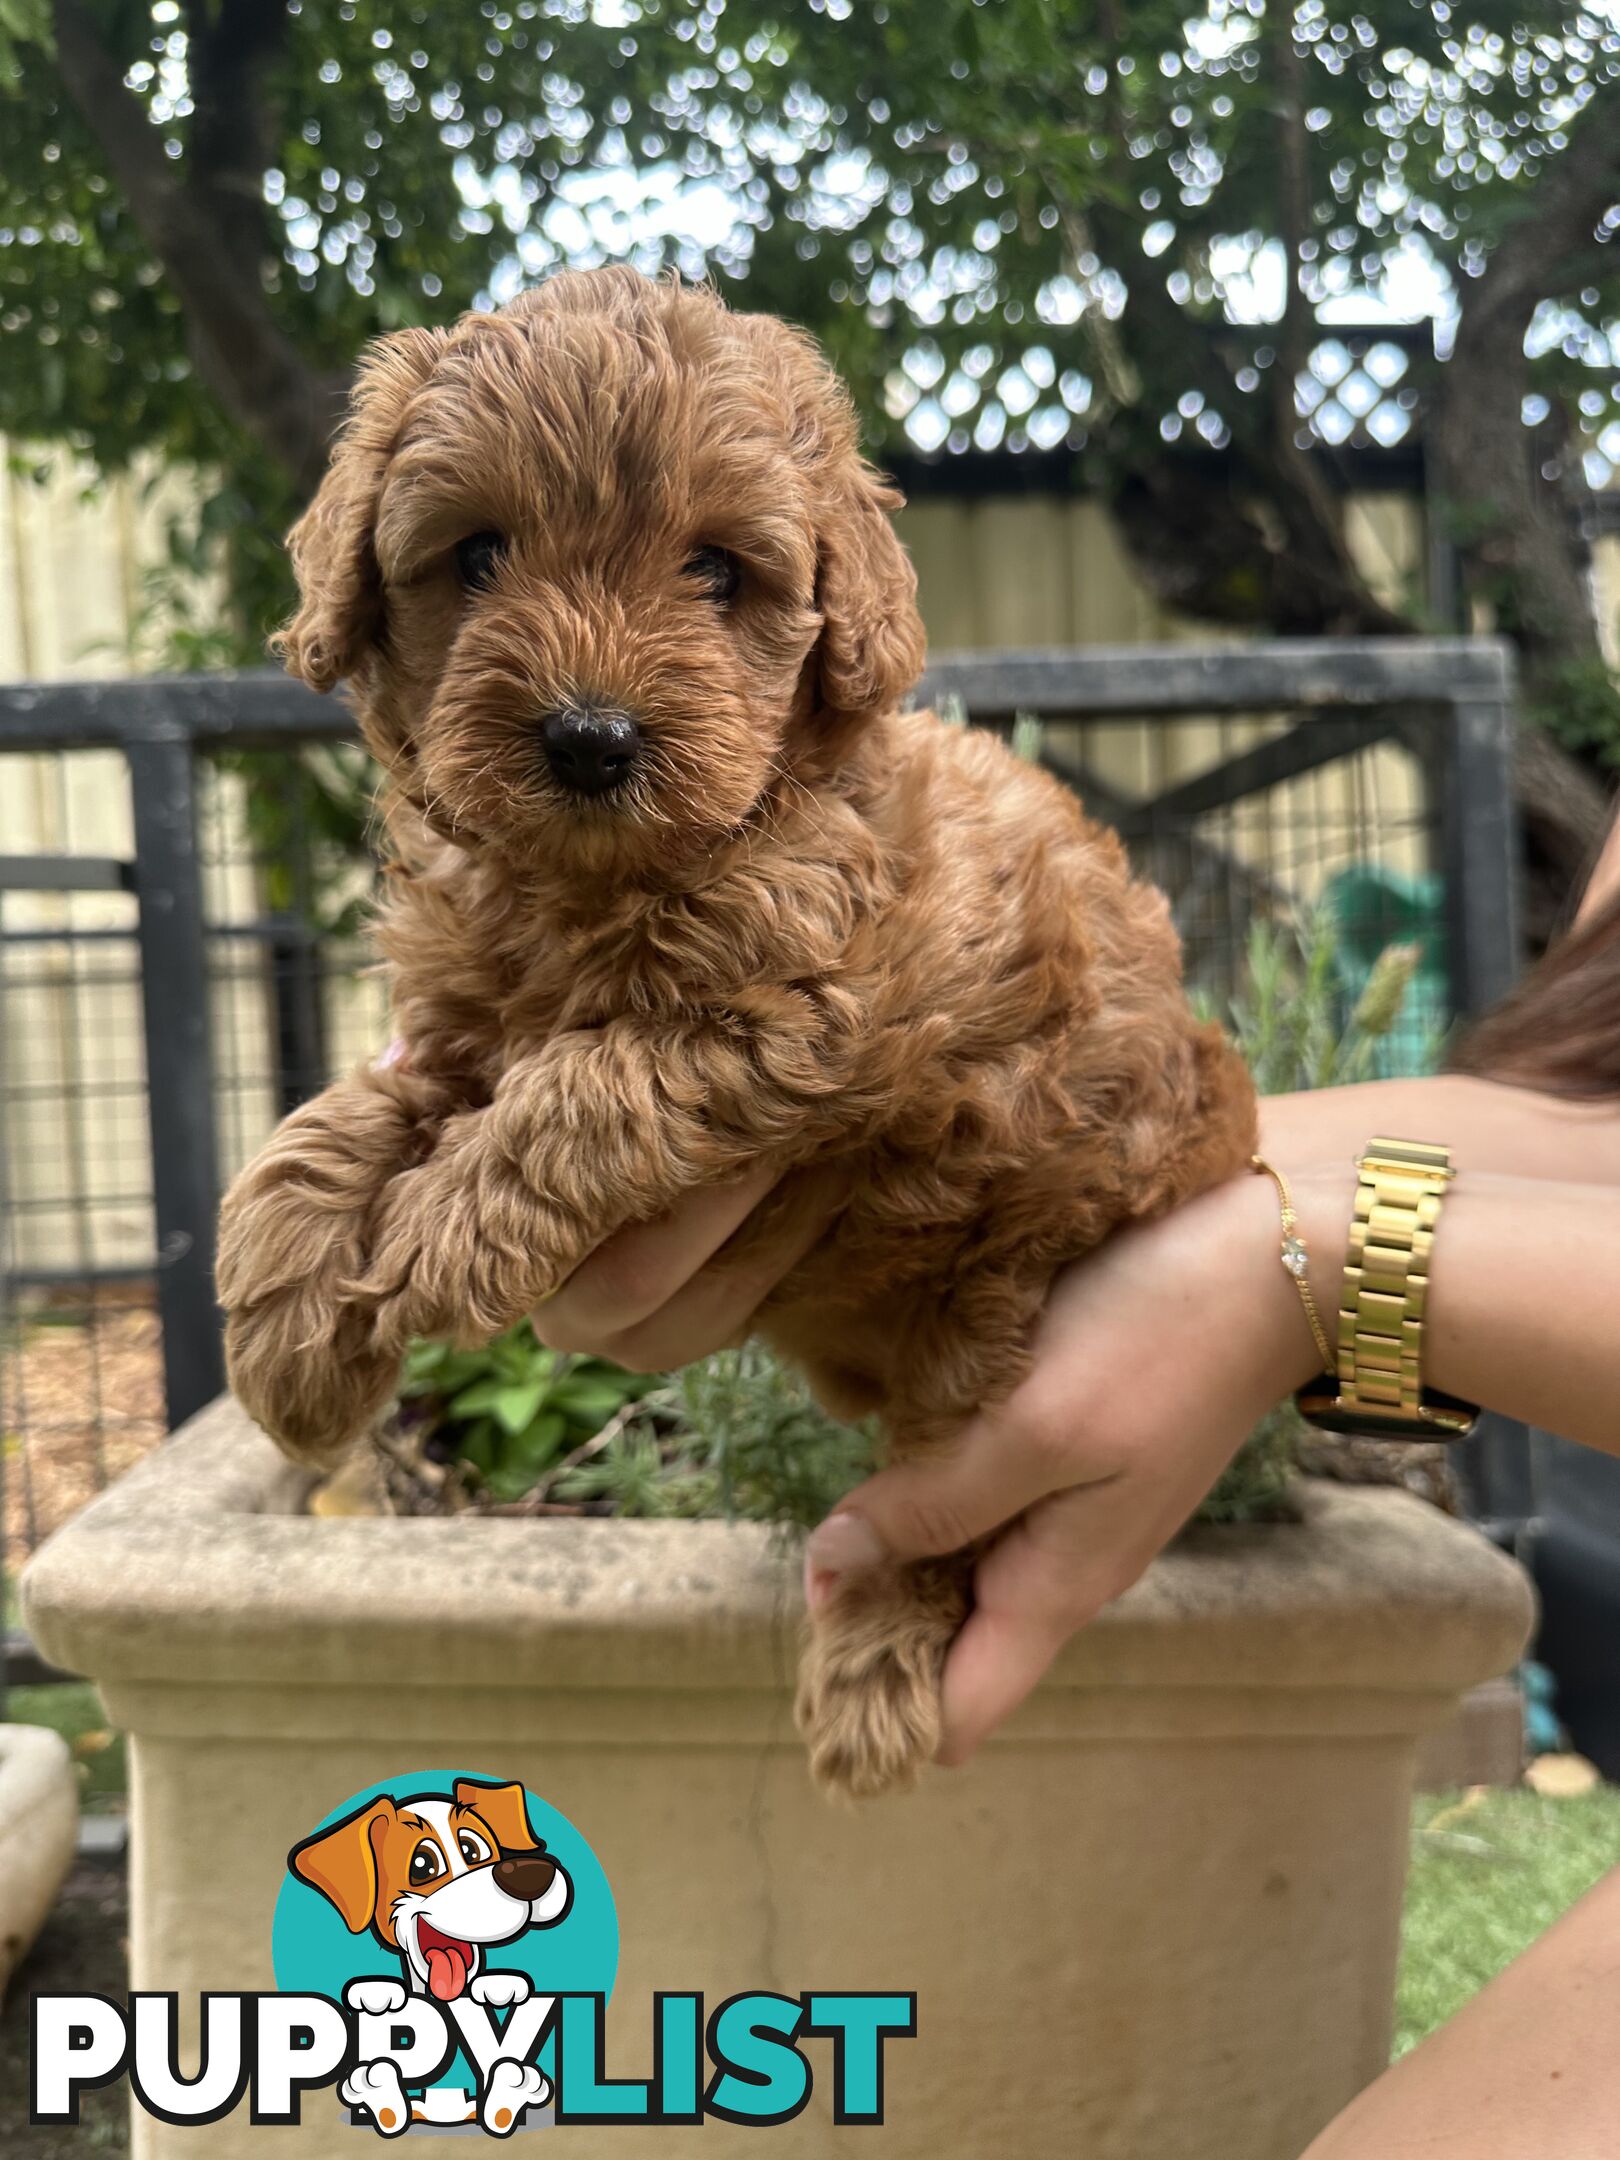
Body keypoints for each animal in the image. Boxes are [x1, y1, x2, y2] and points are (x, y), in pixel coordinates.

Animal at [212, 265, 1252, 1788]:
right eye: (477, 555)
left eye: (715, 570)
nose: (590, 739)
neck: (595, 883)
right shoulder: (463, 1023)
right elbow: (336, 1125)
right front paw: (290, 1326)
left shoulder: (801, 1019)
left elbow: (586, 1087)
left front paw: (446, 1233)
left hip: (991, 1324)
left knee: (942, 1519)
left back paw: (874, 1672)